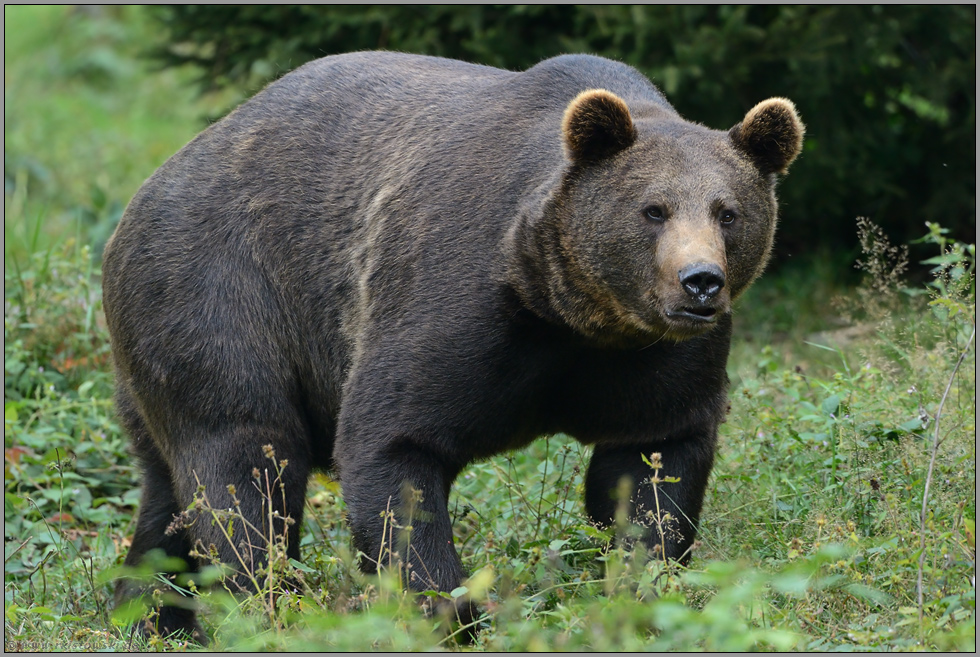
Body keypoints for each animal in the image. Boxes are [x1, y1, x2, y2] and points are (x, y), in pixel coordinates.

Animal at [101, 52, 804, 640]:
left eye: (729, 211)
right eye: (653, 209)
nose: (700, 282)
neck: (570, 311)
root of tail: (143, 193)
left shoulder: (652, 361)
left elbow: (654, 469)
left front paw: (640, 595)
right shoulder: (457, 301)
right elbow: (394, 450)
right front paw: (454, 613)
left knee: (167, 492)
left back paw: (150, 614)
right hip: (216, 290)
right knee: (246, 461)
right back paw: (262, 608)